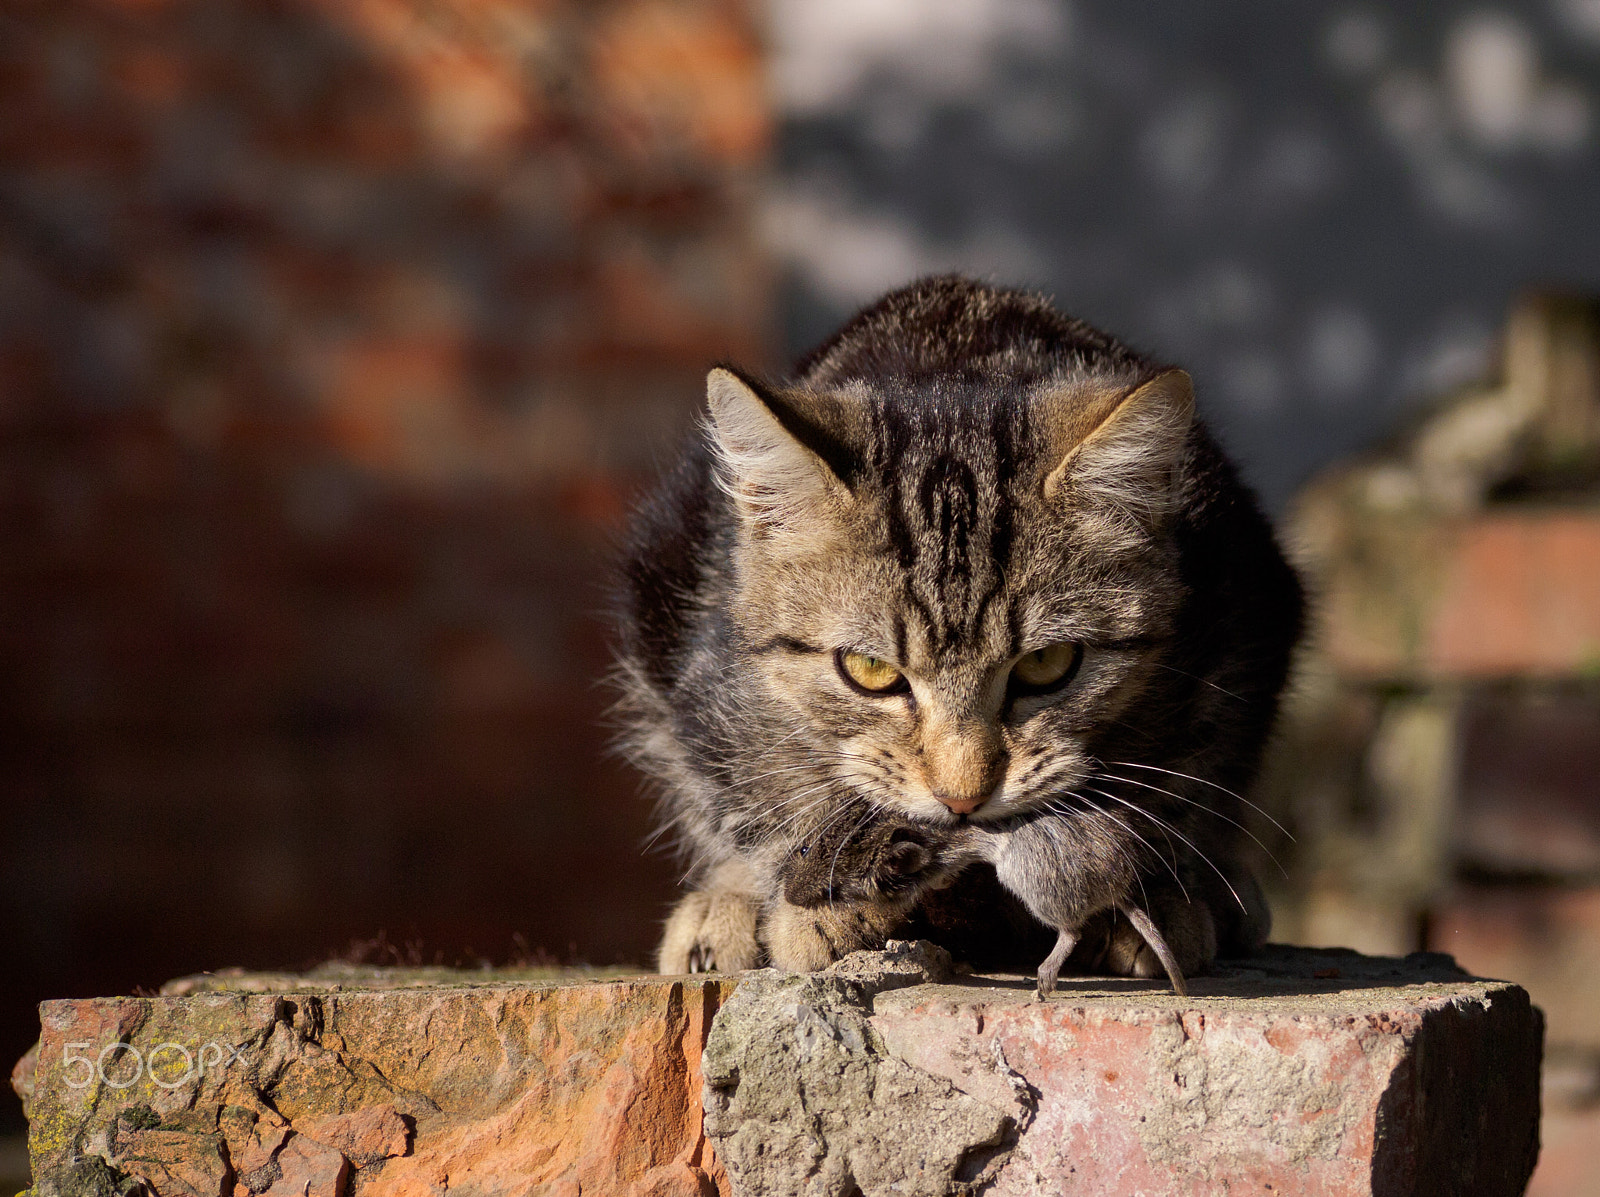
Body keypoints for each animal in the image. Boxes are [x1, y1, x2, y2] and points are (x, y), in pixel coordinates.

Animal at [611, 278, 1299, 979]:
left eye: (1048, 665)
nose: (962, 799)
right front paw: (823, 889)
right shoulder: (706, 688)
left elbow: (1185, 785)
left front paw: (1152, 888)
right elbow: (756, 792)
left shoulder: (1239, 629)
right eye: (870, 670)